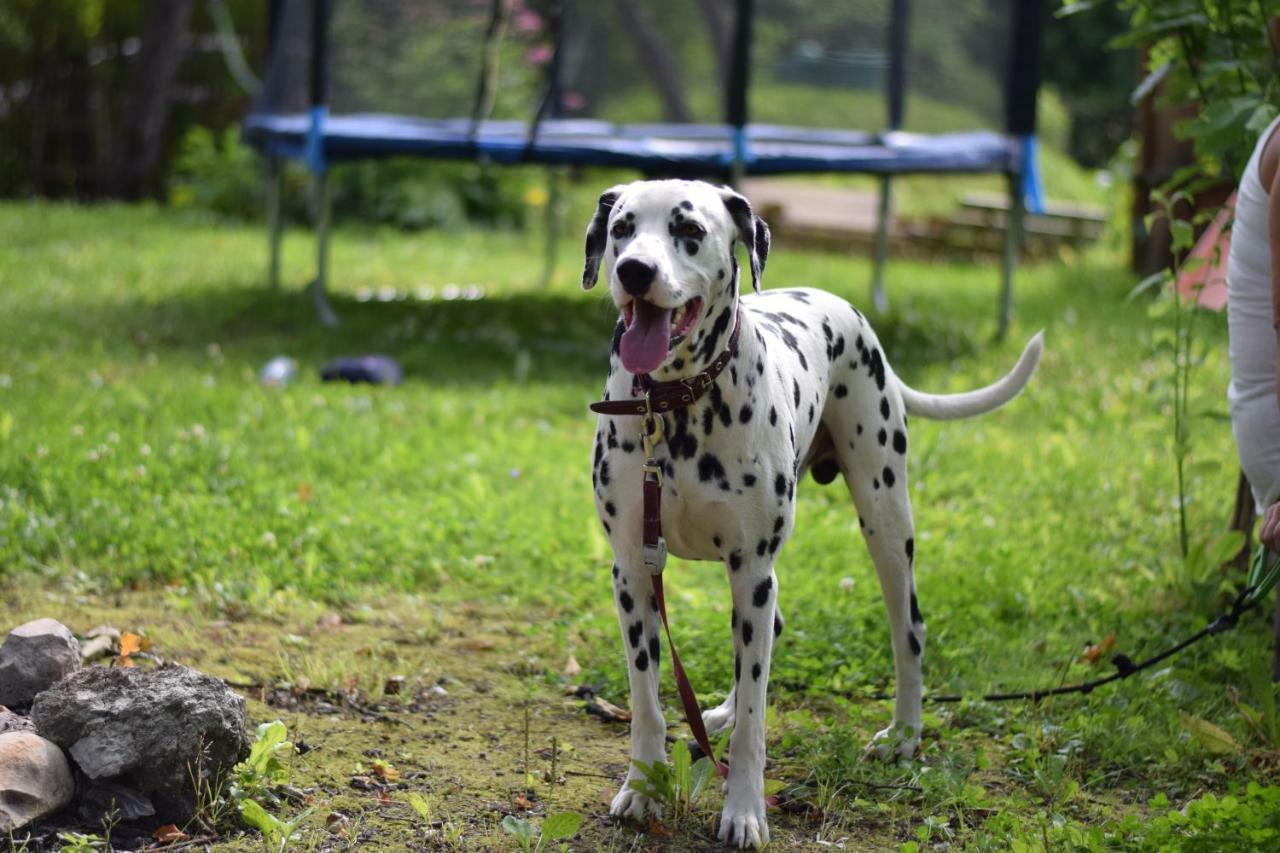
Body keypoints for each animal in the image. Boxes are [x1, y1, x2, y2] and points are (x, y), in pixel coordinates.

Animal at [586, 178, 1044, 845]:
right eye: (621, 228)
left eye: (689, 231)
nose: (633, 271)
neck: (676, 406)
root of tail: (843, 307)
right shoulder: (634, 573)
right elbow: (647, 702)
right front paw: (644, 787)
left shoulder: (752, 568)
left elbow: (756, 722)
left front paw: (744, 810)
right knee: (766, 638)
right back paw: (719, 713)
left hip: (884, 519)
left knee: (909, 630)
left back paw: (904, 735)